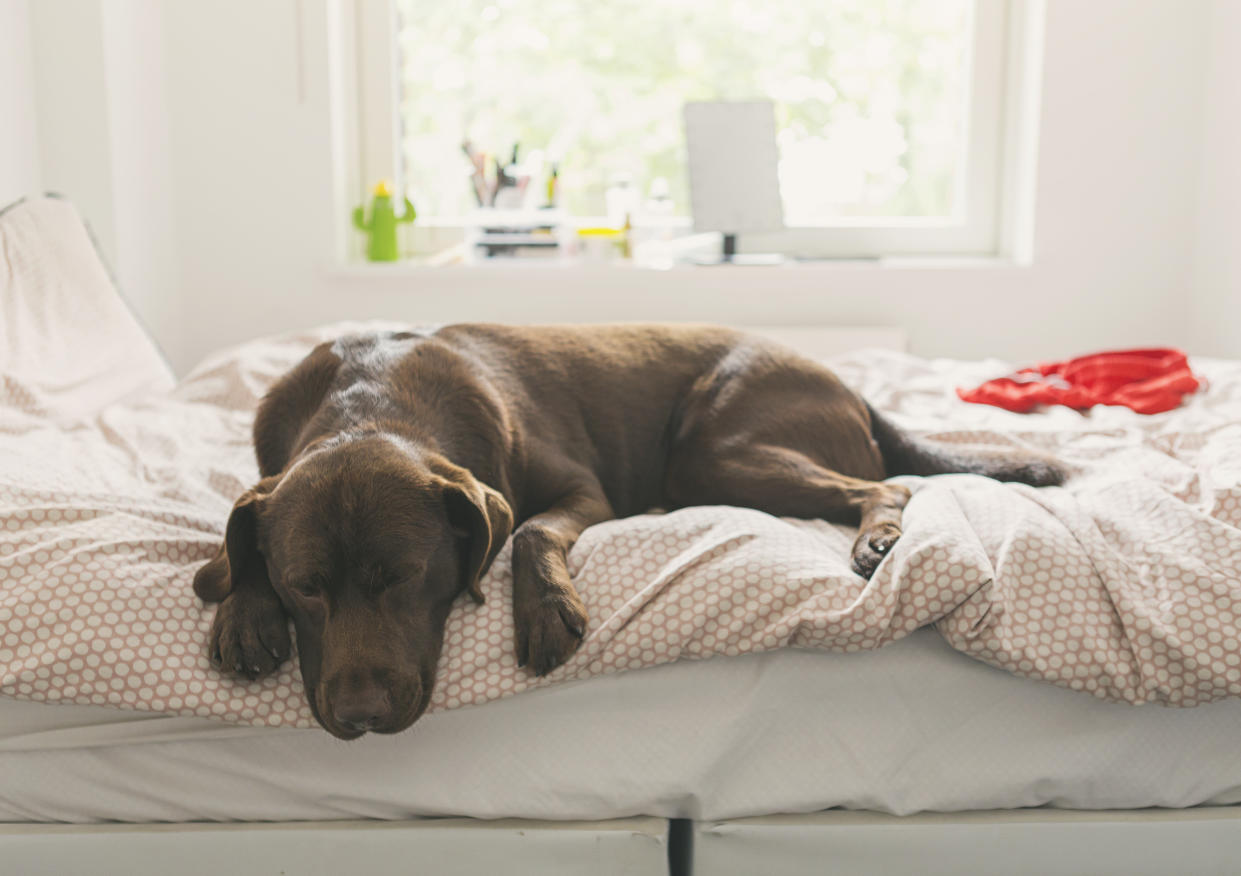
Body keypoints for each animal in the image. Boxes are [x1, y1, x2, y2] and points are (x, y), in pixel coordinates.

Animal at [196, 325, 1067, 734]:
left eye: (405, 577)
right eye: (304, 587)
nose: (361, 716)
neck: (368, 399)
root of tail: (848, 386)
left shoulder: (579, 488)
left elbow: (527, 535)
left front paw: (547, 612)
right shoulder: (264, 487)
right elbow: (236, 534)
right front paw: (241, 607)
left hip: (714, 449)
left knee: (885, 482)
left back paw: (878, 538)